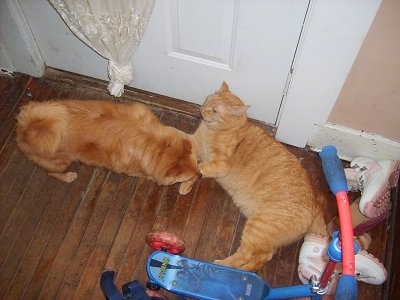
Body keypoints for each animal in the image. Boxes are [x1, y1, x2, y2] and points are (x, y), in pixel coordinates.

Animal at [16, 100, 199, 185]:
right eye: (190, 176)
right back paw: (68, 177)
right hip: (60, 161)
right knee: (50, 172)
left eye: (197, 166)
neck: (160, 147)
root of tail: (26, 128)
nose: (200, 175)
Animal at [180, 82, 328, 272]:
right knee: (263, 257)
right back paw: (246, 270)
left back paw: (222, 265)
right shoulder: (196, 144)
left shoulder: (218, 164)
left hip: (257, 226)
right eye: (207, 100)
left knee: (244, 255)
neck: (214, 130)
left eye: (214, 110)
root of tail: (315, 205)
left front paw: (184, 180)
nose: (201, 109)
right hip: (264, 238)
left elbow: (197, 169)